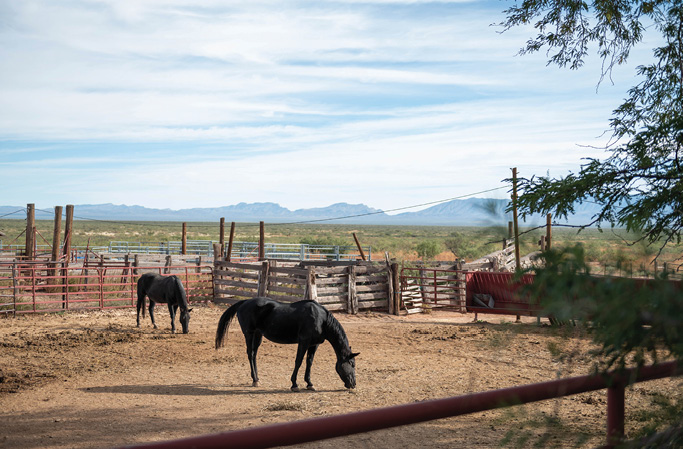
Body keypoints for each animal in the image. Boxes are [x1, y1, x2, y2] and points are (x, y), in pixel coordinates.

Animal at [218, 300, 358, 390]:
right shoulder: (304, 342)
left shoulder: (314, 344)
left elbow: (309, 362)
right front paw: (294, 384)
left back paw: (256, 379)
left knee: (254, 354)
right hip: (249, 333)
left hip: (258, 335)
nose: (353, 384)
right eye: (352, 364)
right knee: (250, 354)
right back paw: (255, 380)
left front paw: (309, 383)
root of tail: (244, 302)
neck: (321, 319)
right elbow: (299, 361)